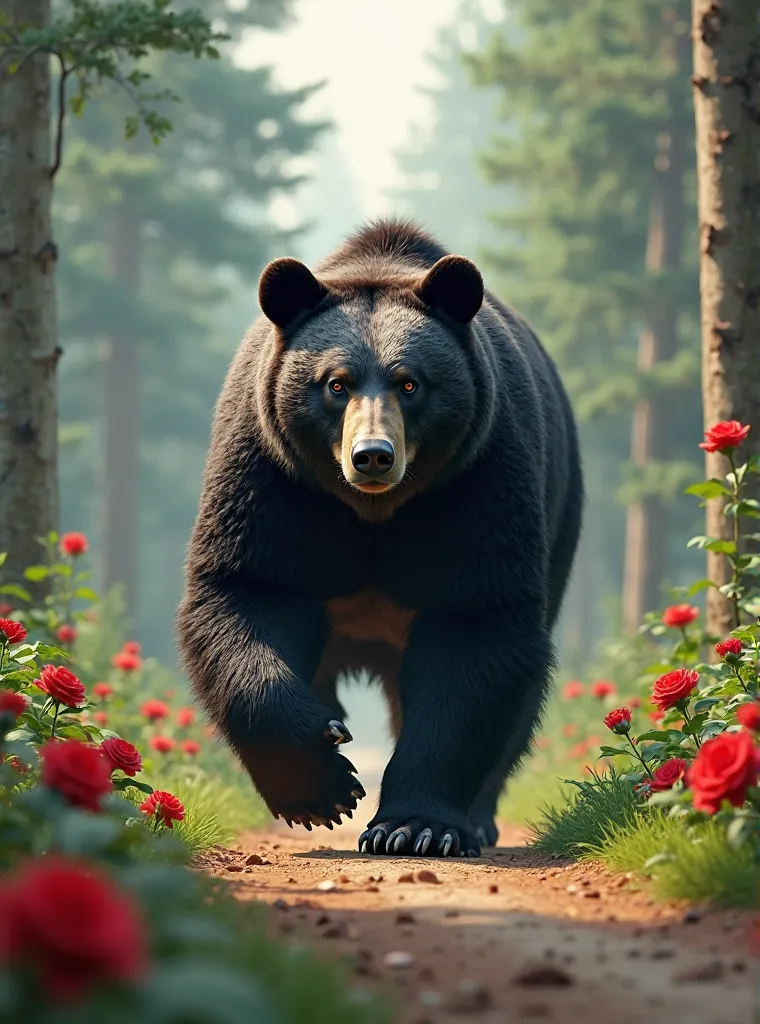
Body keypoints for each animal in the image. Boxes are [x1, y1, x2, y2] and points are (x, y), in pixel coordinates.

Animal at [178, 218, 581, 856]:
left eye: (410, 383)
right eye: (335, 384)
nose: (372, 455)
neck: (373, 513)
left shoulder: (477, 481)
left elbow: (476, 627)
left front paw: (415, 827)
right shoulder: (273, 478)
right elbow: (247, 592)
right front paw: (324, 784)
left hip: (559, 515)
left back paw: (478, 818)